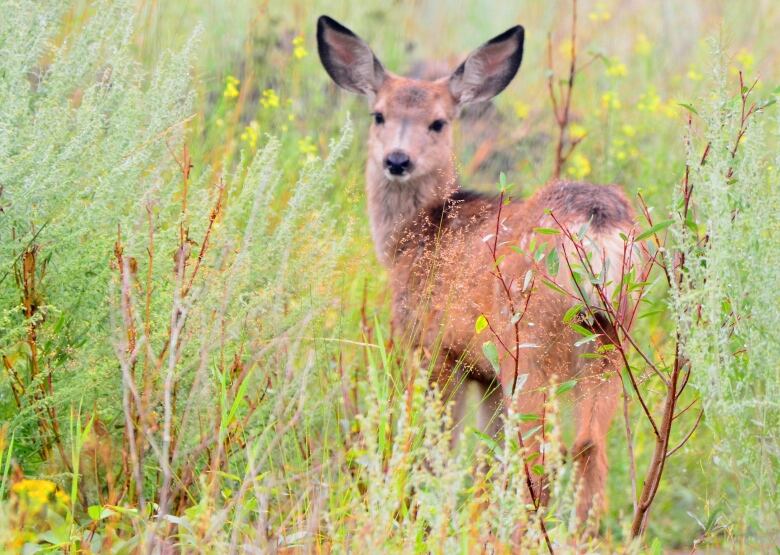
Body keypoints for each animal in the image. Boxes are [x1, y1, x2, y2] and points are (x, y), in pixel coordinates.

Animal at [320, 13, 636, 524]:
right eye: (379, 115)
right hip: (609, 343)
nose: (396, 160)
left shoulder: (432, 345)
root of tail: (599, 228)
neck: (418, 234)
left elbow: (435, 447)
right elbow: (486, 456)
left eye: (438, 122)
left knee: (539, 463)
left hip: (531, 346)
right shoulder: (483, 373)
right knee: (592, 456)